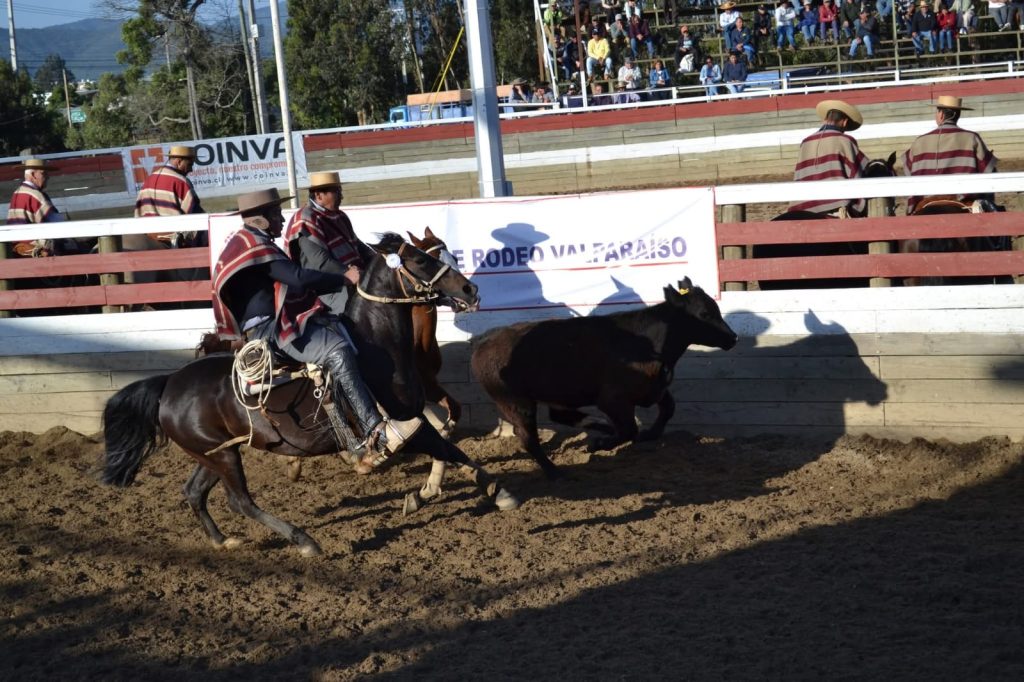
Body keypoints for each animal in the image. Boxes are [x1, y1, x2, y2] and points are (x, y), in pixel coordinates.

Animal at [101, 232, 519, 557]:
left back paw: (223, 541)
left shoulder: (417, 416)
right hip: (222, 457)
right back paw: (304, 541)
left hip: (214, 452)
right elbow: (448, 448)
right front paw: (497, 493)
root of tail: (169, 383)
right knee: (240, 502)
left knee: (193, 492)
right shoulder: (404, 425)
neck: (377, 347)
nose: (470, 289)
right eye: (419, 259)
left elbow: (451, 445)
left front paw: (441, 491)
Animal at [470, 277, 738, 478]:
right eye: (704, 313)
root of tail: (483, 343)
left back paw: (600, 426)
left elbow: (667, 409)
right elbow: (629, 429)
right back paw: (555, 471)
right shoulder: (613, 400)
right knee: (528, 439)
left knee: (560, 416)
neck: (648, 342)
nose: (733, 338)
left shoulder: (654, 388)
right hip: (517, 402)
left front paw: (648, 434)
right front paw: (599, 444)